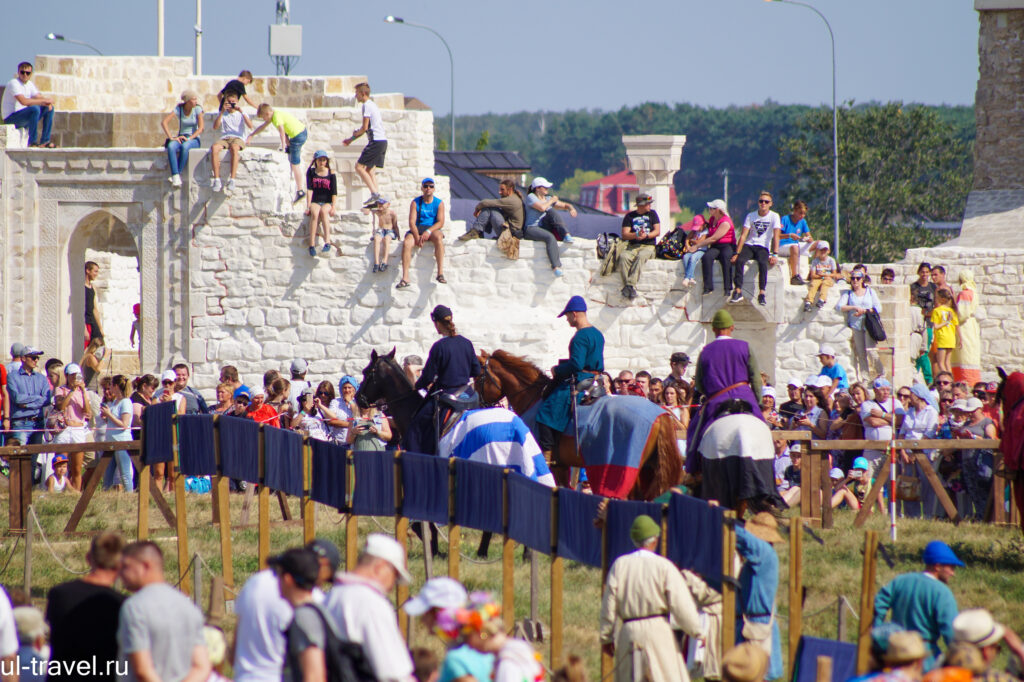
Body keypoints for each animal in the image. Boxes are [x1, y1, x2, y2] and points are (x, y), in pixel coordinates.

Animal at [475, 350, 684, 499]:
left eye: (478, 378)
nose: (477, 405)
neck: (532, 397)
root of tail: (660, 414)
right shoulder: (560, 465)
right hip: (646, 471)